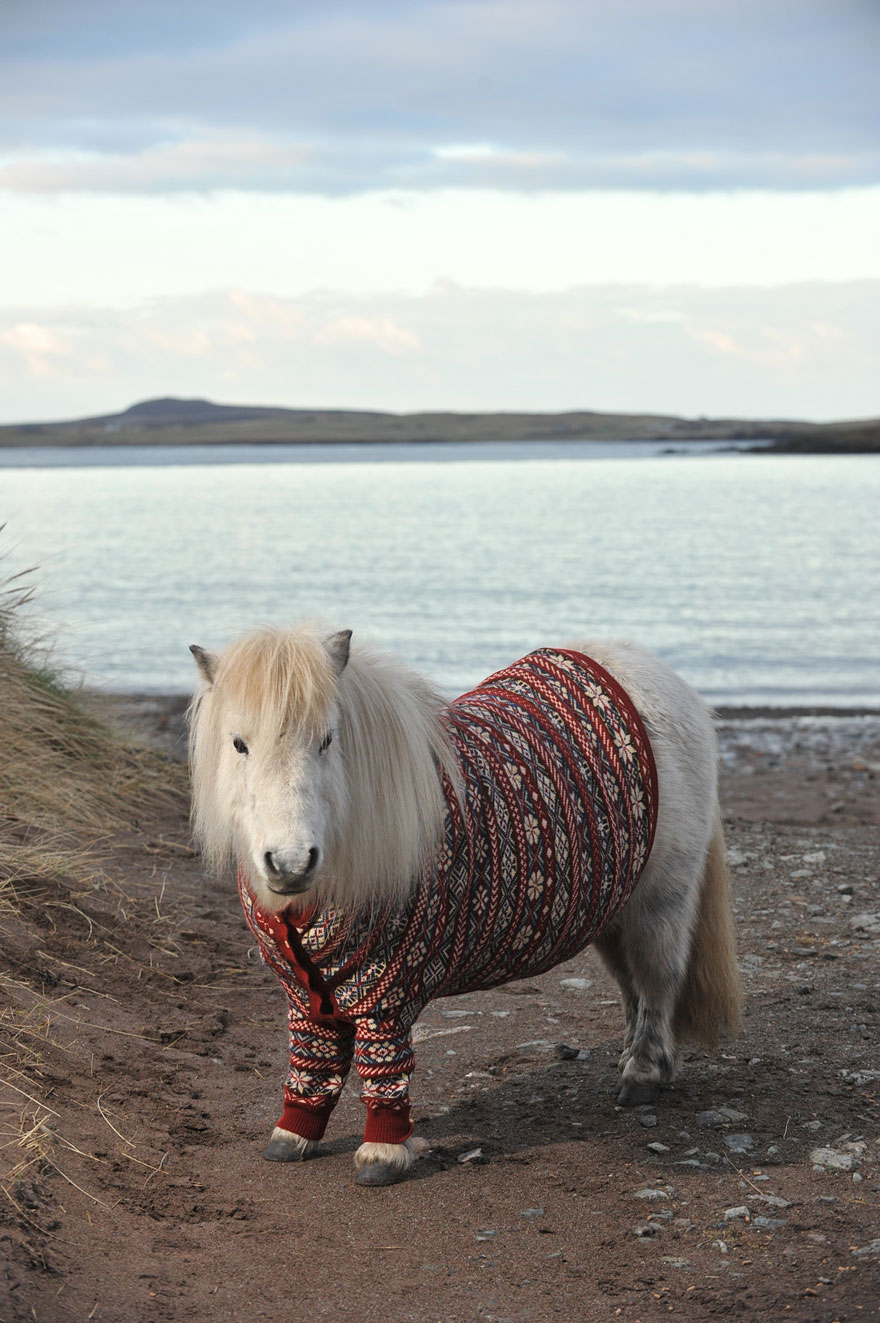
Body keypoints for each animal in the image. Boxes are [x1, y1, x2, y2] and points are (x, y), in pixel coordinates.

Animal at [188, 624, 740, 1187]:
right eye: (238, 744)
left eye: (326, 740)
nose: (291, 862)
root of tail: (657, 676)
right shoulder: (306, 998)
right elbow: (313, 1063)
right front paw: (293, 1135)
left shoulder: (387, 996)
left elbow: (383, 1069)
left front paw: (383, 1155)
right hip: (611, 909)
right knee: (631, 987)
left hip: (660, 903)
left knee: (657, 982)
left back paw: (643, 1074)